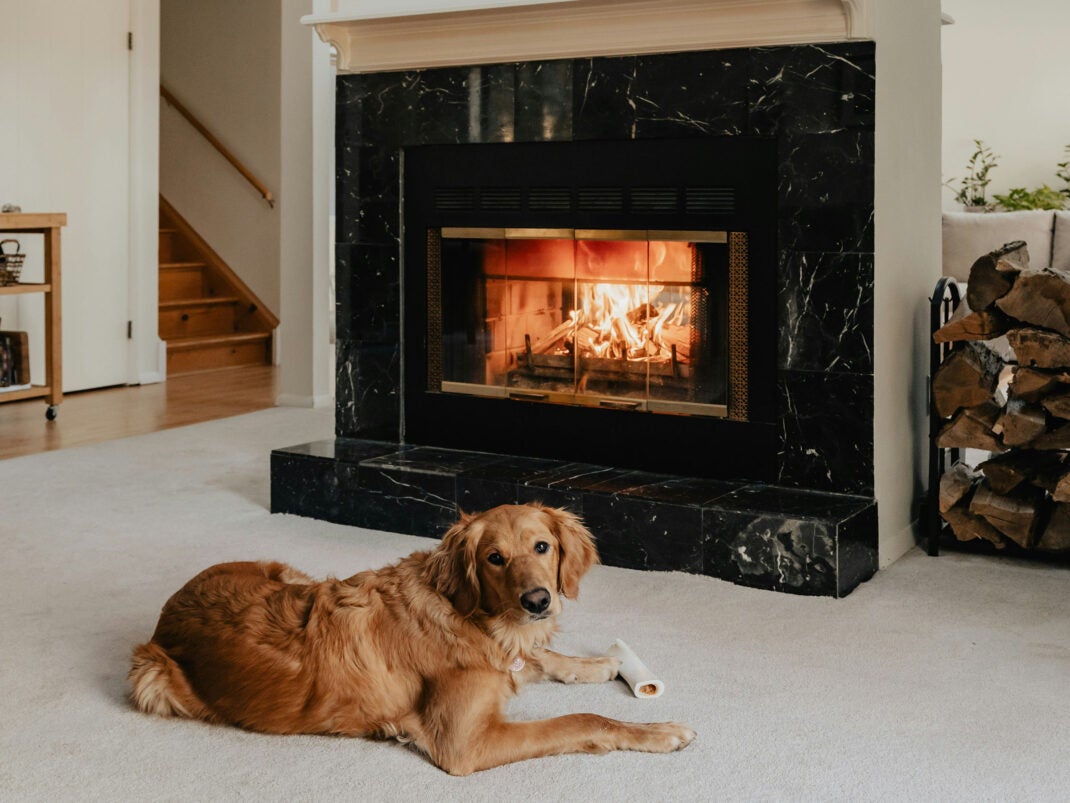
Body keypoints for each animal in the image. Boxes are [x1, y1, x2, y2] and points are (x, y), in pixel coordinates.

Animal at [127, 505, 693, 775]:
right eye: (494, 558)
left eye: (542, 546)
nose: (537, 601)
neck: (468, 615)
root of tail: (170, 607)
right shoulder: (464, 743)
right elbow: (581, 720)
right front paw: (658, 731)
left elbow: (540, 657)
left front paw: (601, 664)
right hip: (150, 678)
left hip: (291, 574)